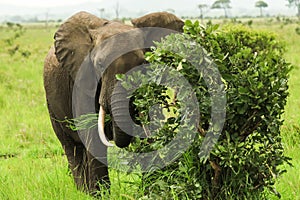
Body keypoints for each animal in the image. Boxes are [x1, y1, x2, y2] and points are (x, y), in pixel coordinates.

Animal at [43, 10, 184, 194]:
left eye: (142, 63)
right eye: (100, 64)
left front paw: (152, 190)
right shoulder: (81, 82)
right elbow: (93, 136)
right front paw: (100, 195)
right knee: (72, 148)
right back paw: (83, 192)